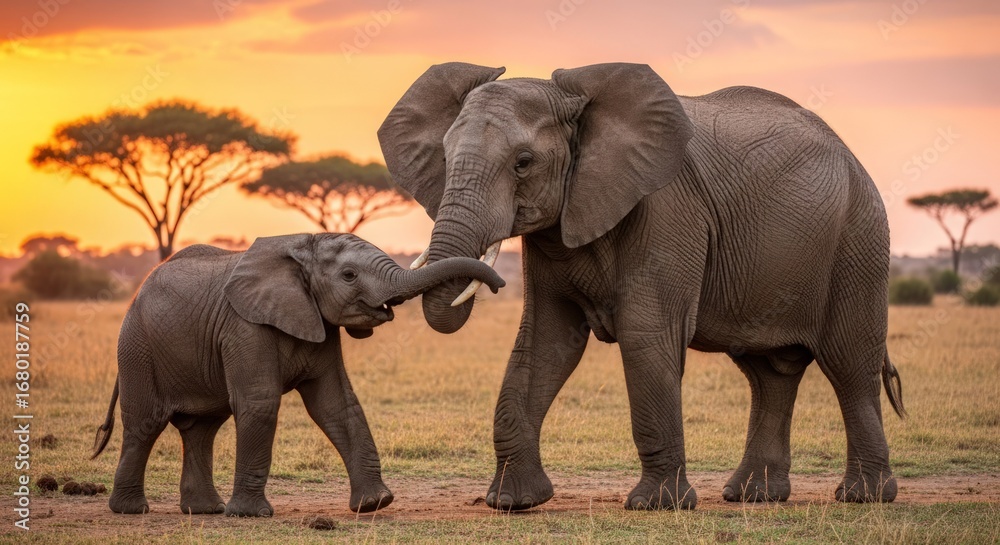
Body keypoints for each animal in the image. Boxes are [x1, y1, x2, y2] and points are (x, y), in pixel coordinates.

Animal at [90, 233, 504, 517]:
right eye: (349, 275)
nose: (500, 284)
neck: (303, 245)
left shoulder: (319, 321)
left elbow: (336, 404)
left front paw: (374, 504)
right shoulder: (244, 326)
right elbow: (260, 403)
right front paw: (252, 516)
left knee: (202, 428)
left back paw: (205, 511)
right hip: (137, 348)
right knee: (146, 423)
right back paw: (132, 510)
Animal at [377, 62, 906, 511]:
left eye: (523, 163)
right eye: (445, 157)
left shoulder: (667, 211)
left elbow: (645, 335)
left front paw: (657, 505)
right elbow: (544, 343)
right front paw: (512, 502)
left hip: (858, 240)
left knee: (849, 365)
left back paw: (863, 497)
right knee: (769, 373)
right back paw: (752, 496)